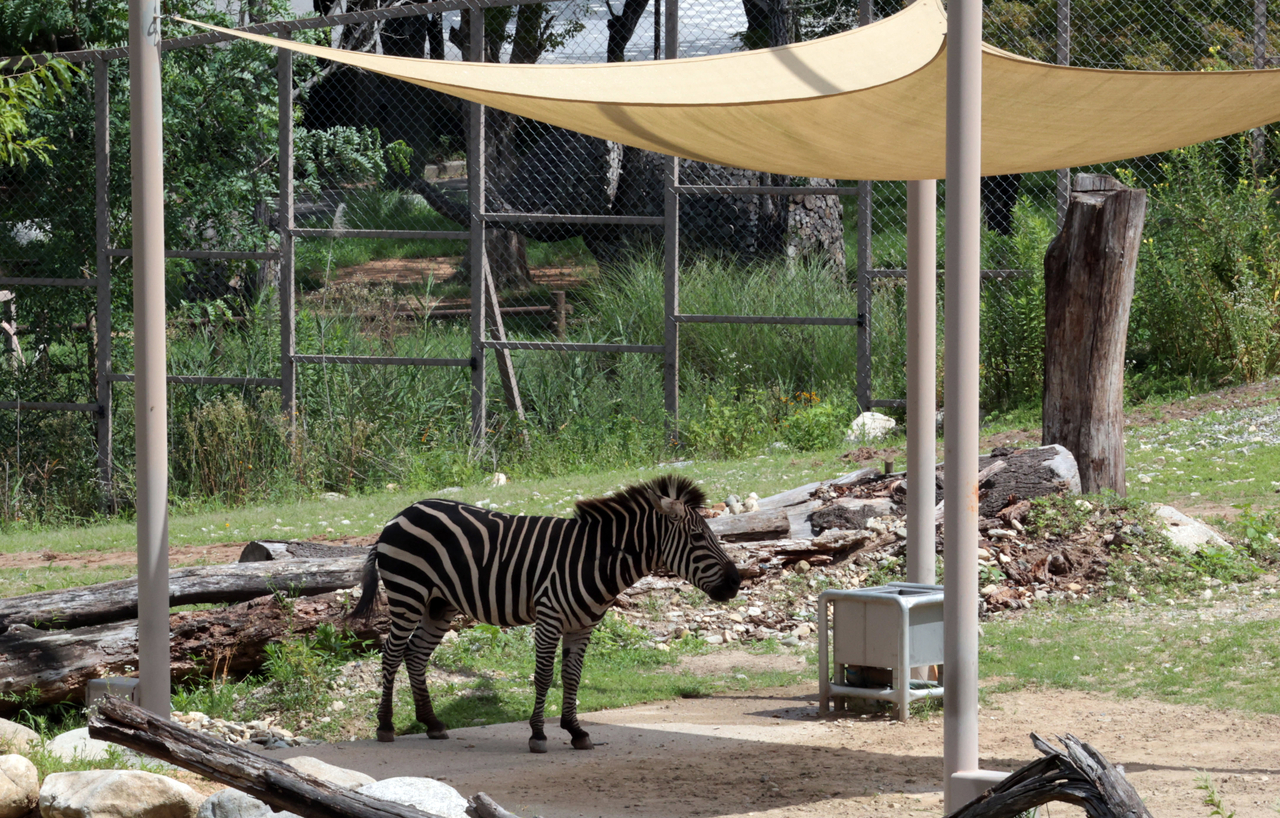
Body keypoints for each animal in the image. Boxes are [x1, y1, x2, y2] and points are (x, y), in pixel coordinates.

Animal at [351, 474, 741, 753]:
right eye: (697, 537)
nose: (737, 582)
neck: (594, 560)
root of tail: (400, 514)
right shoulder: (549, 616)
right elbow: (543, 676)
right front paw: (538, 734)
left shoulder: (583, 624)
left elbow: (572, 677)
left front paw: (576, 730)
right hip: (408, 594)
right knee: (391, 654)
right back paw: (385, 726)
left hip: (439, 604)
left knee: (416, 655)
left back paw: (432, 724)